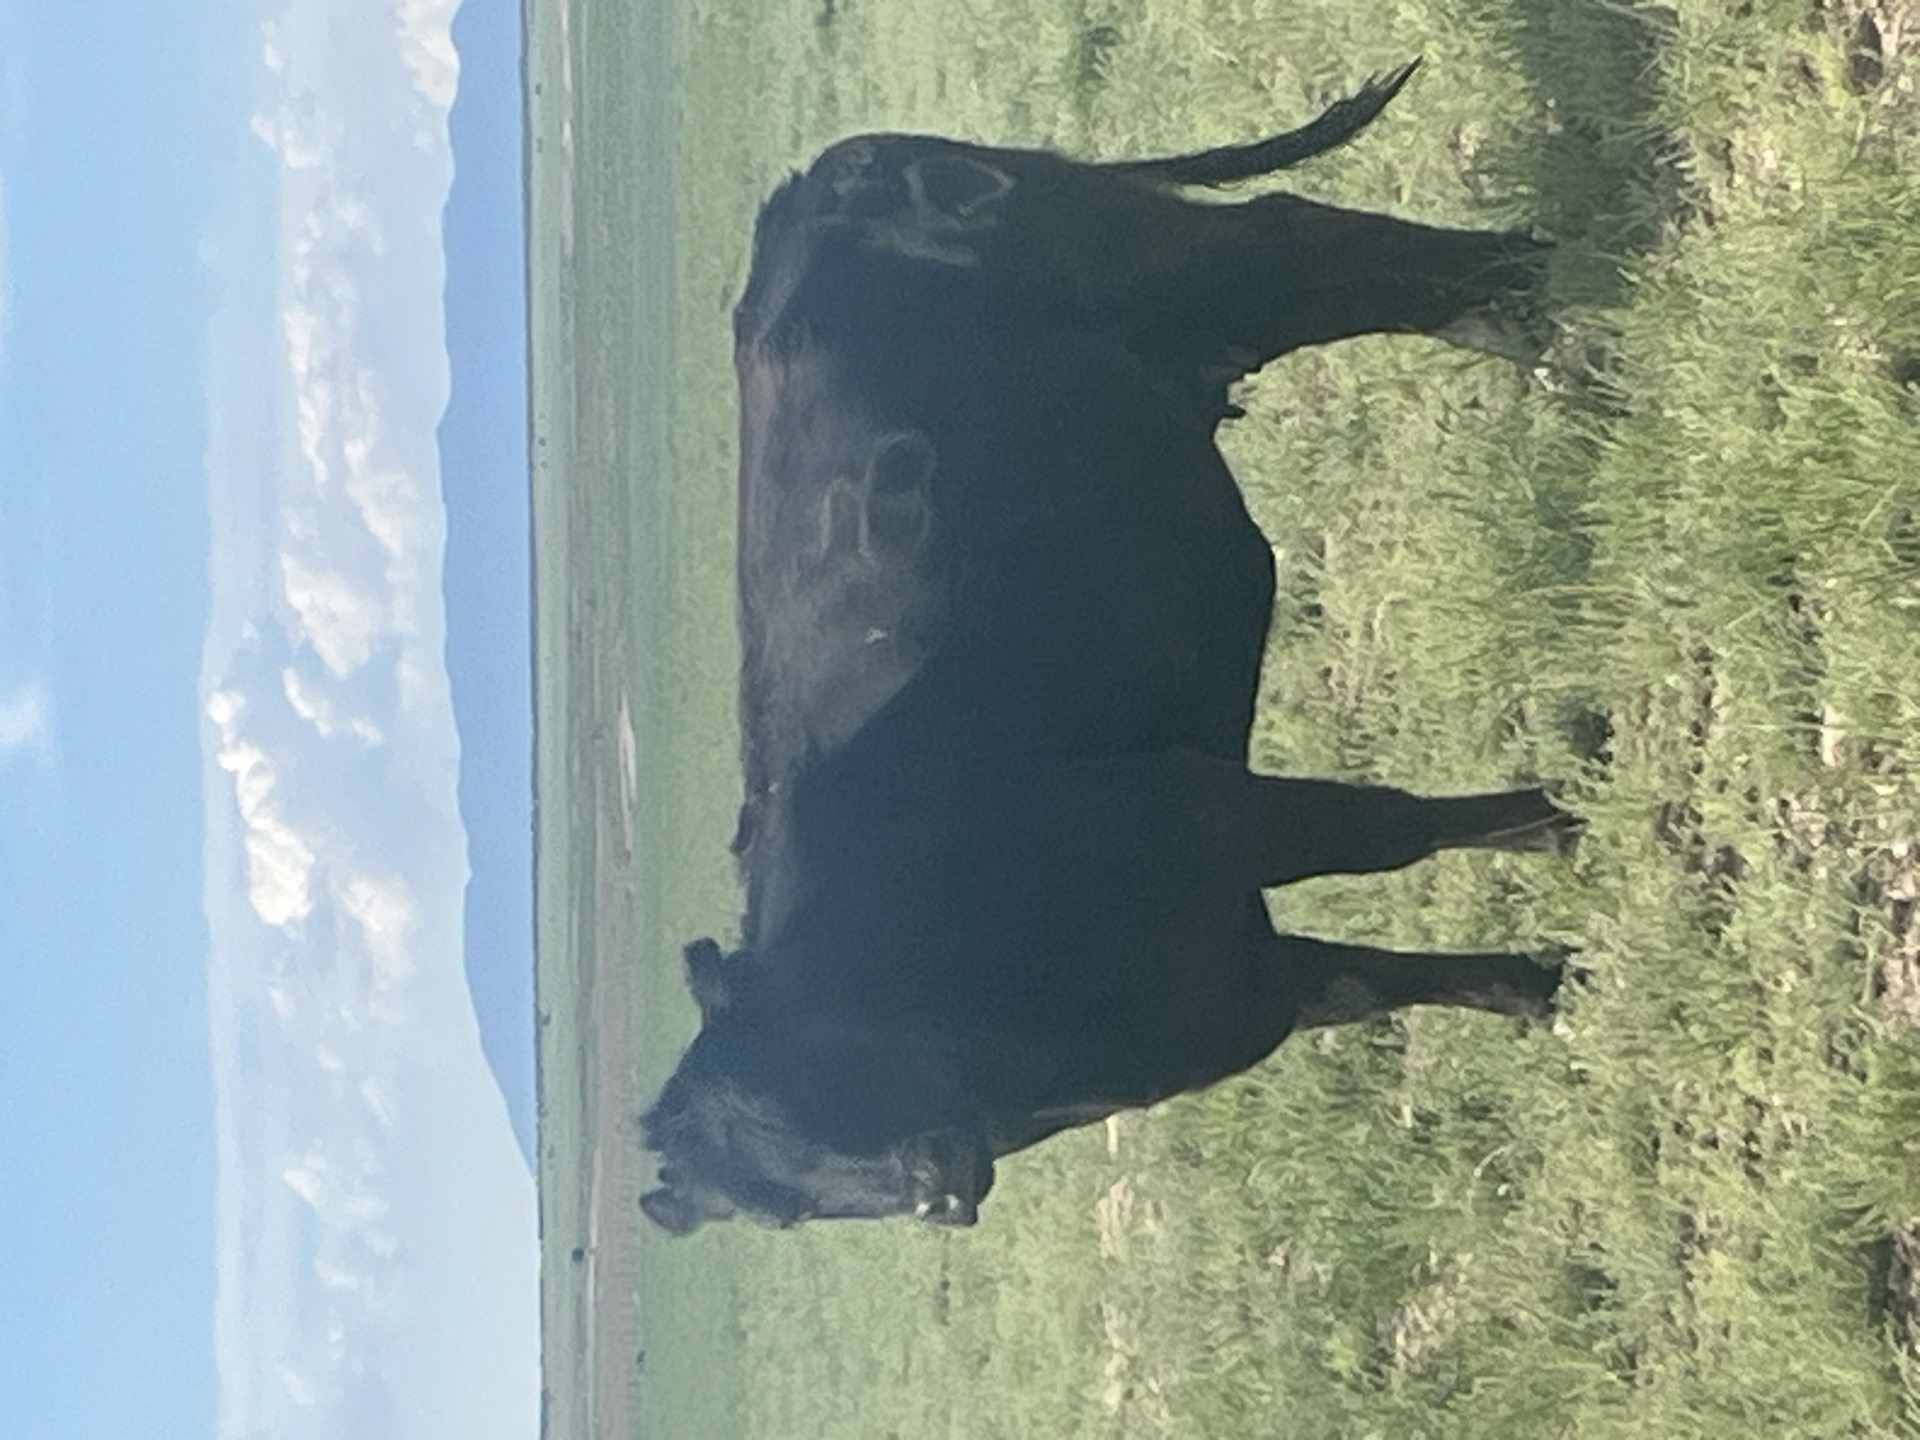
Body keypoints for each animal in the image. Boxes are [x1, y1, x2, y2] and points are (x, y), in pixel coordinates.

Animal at [639, 62, 1577, 1235]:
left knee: (1305, 235)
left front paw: (1561, 818)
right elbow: (1368, 983)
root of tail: (822, 179)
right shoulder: (1236, 978)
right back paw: (1526, 316)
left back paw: (1538, 289)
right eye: (776, 1212)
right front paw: (1540, 985)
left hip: (1184, 267)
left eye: (806, 1063)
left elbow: (1387, 832)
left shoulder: (1208, 811)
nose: (935, 1184)